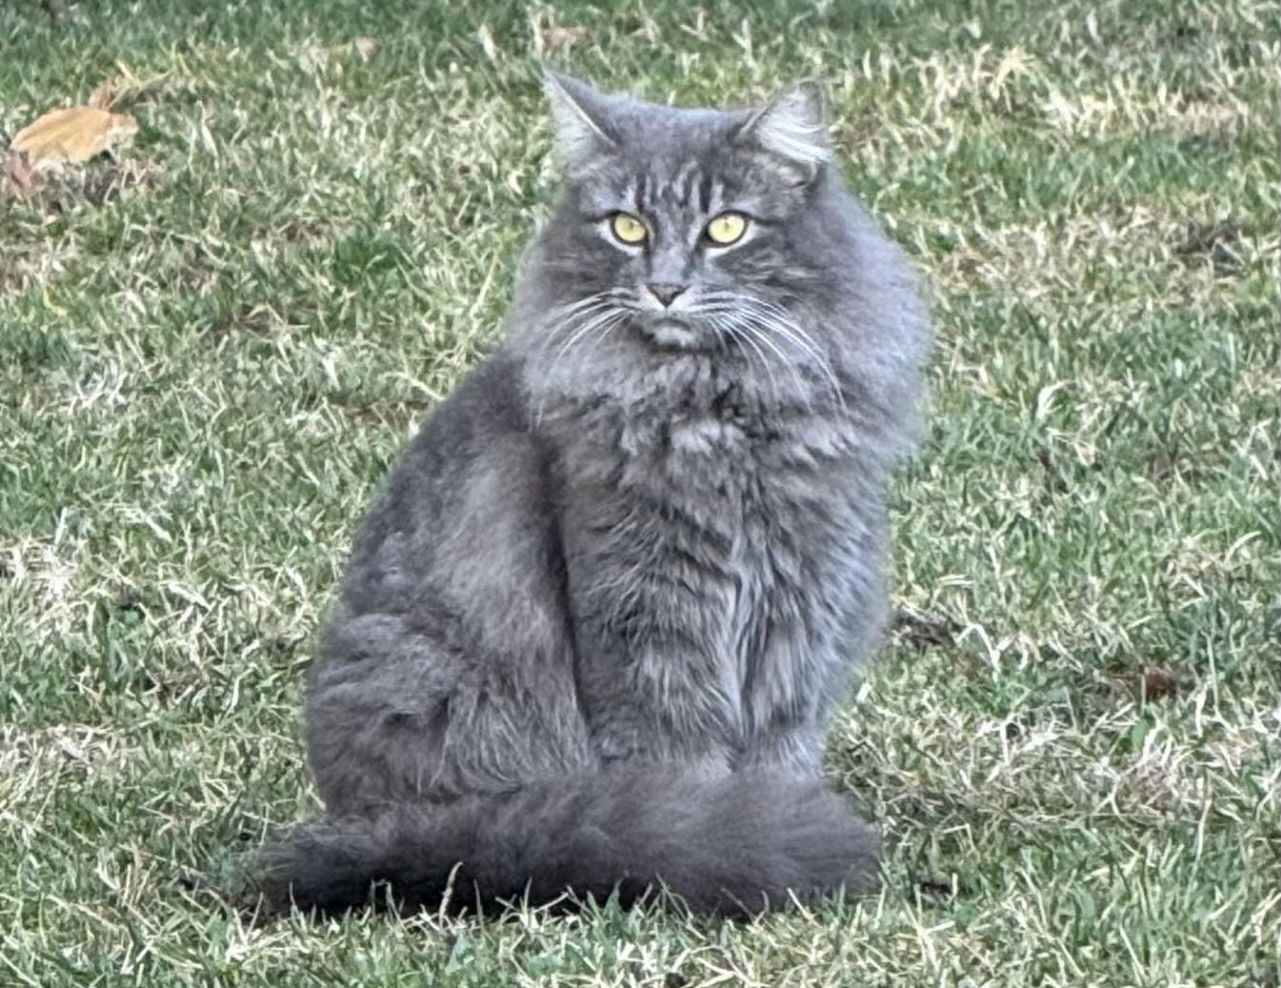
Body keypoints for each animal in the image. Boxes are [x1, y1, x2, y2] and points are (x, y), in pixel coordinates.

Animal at [252, 71, 932, 917]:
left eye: (726, 229)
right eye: (628, 228)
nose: (666, 288)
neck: (715, 413)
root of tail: (368, 821)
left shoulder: (798, 619)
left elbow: (779, 755)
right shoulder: (646, 621)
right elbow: (678, 765)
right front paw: (725, 841)